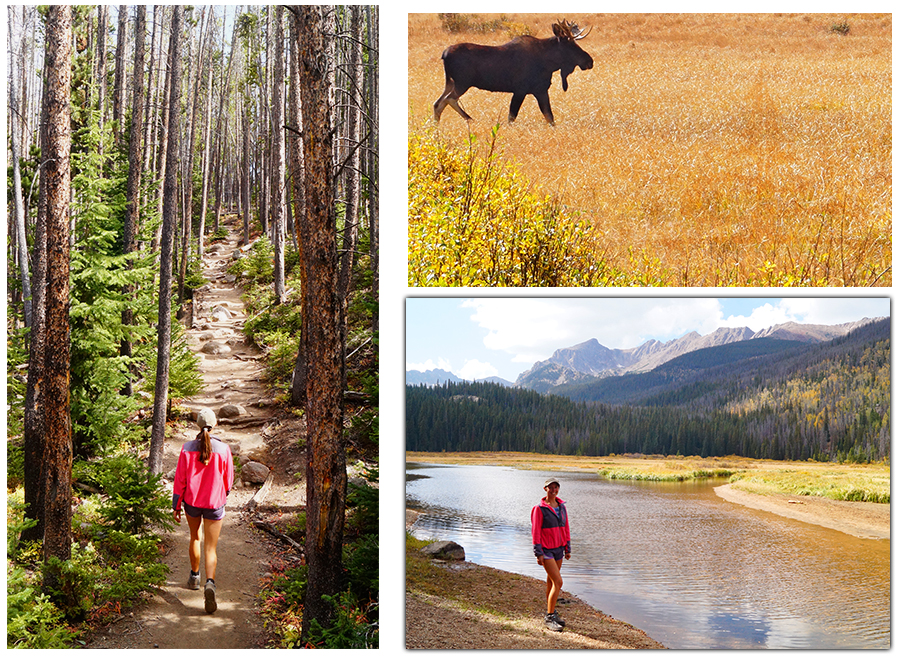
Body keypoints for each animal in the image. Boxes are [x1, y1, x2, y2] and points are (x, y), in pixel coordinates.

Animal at [434, 19, 596, 126]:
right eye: (570, 45)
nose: (589, 61)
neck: (549, 63)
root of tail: (444, 54)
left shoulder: (540, 90)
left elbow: (550, 117)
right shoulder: (520, 90)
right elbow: (512, 117)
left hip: (450, 83)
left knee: (437, 103)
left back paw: (436, 127)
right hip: (462, 83)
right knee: (448, 100)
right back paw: (469, 118)